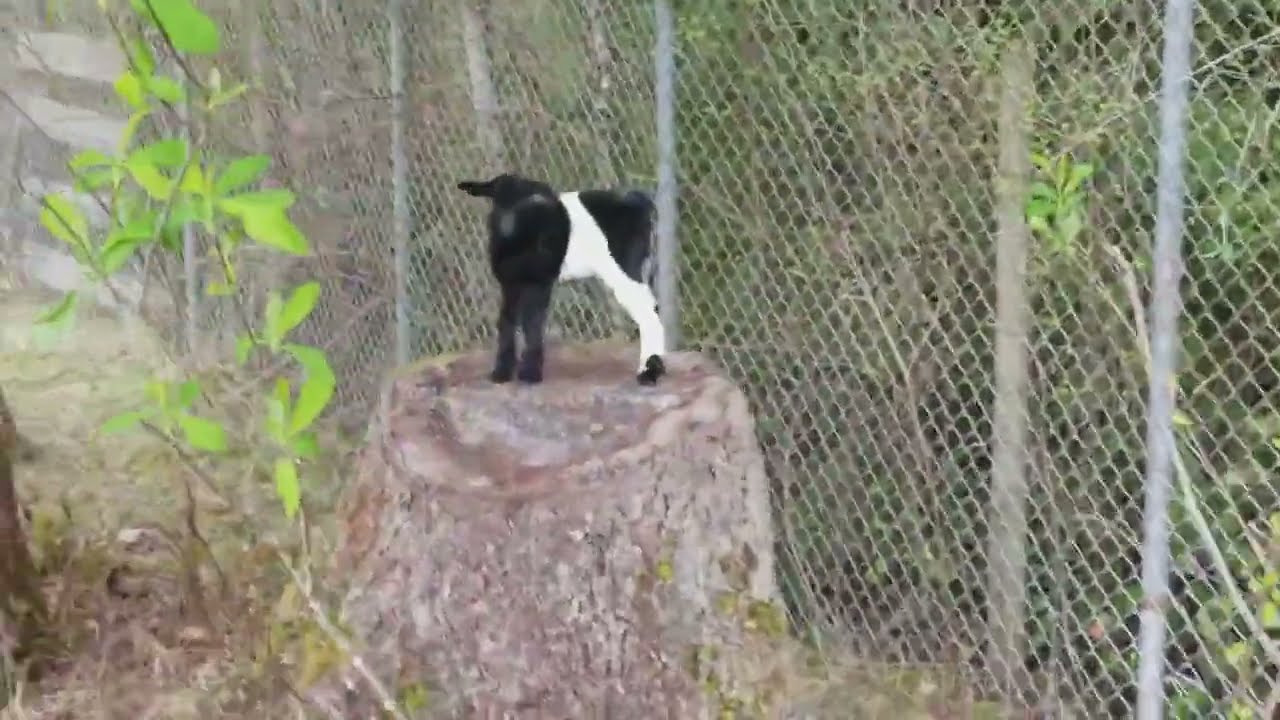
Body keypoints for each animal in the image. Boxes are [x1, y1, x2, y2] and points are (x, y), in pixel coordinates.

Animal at [456, 173, 667, 386]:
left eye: (534, 201)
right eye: (496, 196)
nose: (509, 224)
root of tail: (638, 203)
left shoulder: (539, 281)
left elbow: (532, 322)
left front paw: (530, 374)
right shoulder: (510, 282)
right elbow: (507, 320)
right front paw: (501, 373)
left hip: (623, 266)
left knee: (646, 310)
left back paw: (648, 373)